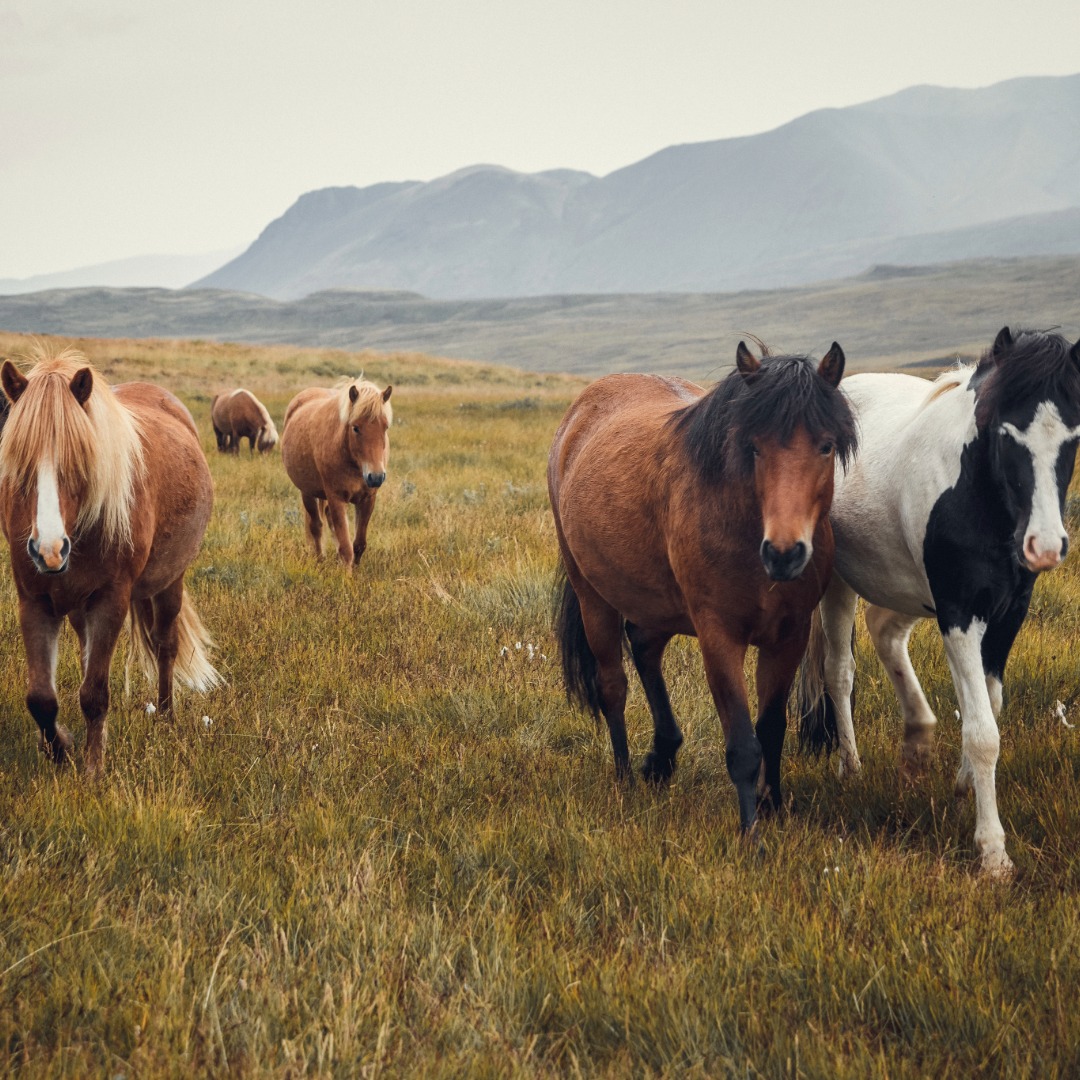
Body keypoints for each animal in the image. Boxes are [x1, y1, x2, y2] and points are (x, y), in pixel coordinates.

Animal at [0, 347, 222, 775]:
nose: (49, 550)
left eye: (79, 462)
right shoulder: (34, 601)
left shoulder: (111, 600)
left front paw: (92, 769)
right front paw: (59, 749)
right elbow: (41, 698)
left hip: (170, 582)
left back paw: (166, 715)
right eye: (21, 464)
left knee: (165, 644)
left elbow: (94, 694)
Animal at [280, 377, 393, 568]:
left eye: (385, 427)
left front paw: (355, 569)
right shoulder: (337, 499)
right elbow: (346, 548)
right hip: (307, 493)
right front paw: (346, 574)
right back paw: (320, 559)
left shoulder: (368, 499)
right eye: (355, 428)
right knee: (316, 526)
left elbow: (359, 544)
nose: (376, 477)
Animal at [549, 341, 856, 834]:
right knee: (612, 684)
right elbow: (744, 745)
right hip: (592, 595)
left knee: (645, 646)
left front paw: (774, 806)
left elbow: (772, 729)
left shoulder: (789, 637)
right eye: (753, 447)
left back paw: (661, 758)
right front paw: (751, 833)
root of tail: (577, 416)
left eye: (825, 446)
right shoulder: (719, 639)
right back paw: (625, 777)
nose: (784, 553)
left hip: (656, 603)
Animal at [798, 326, 1080, 878]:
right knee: (840, 672)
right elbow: (983, 732)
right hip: (838, 584)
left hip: (906, 588)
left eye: (1074, 436)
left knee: (885, 633)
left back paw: (917, 740)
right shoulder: (959, 613)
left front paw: (963, 785)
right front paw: (993, 852)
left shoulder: (1007, 615)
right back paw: (852, 768)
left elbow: (988, 706)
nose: (1044, 546)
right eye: (1006, 435)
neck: (976, 493)